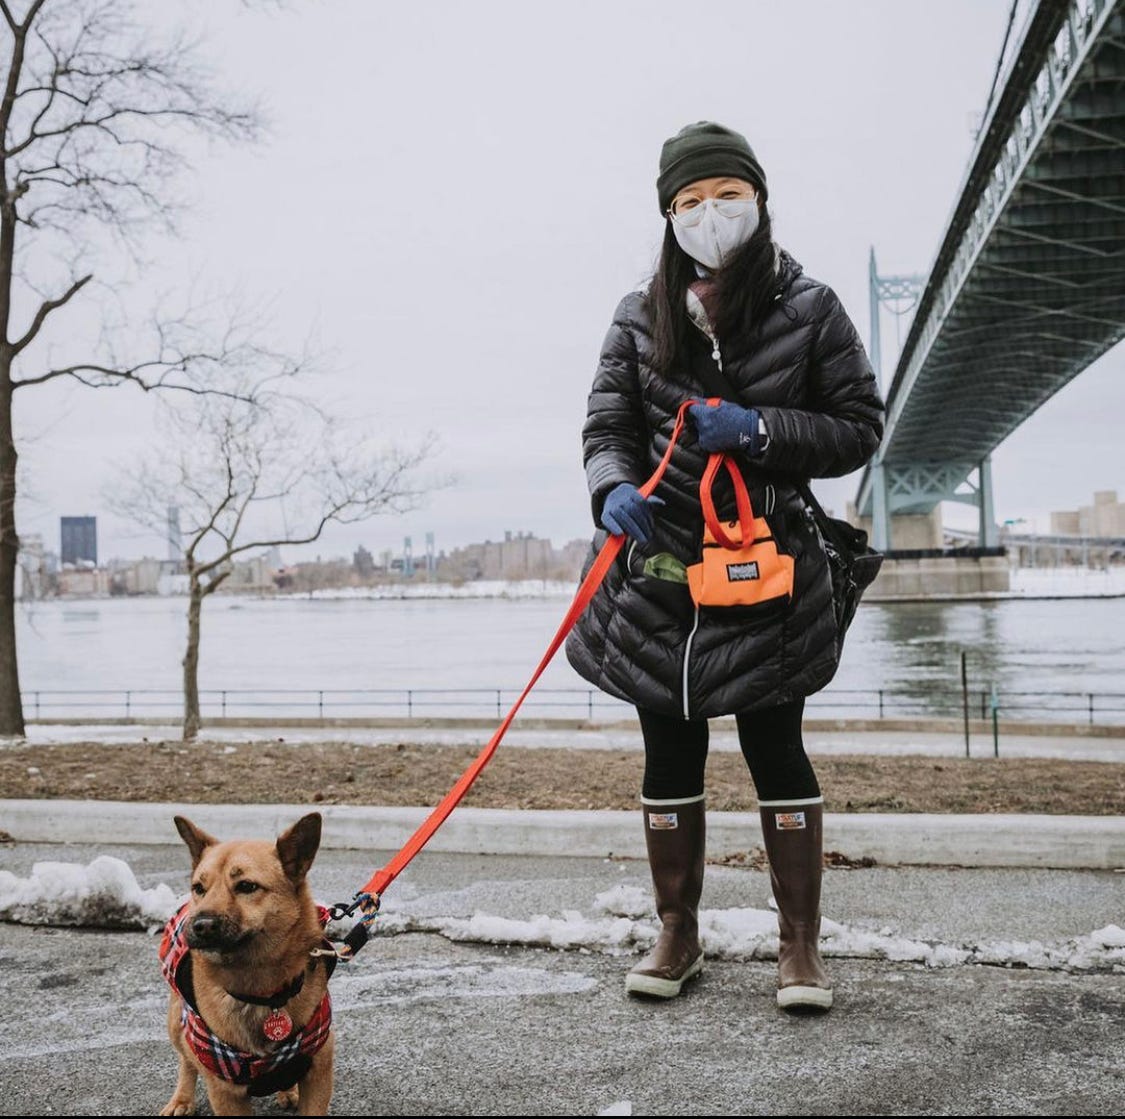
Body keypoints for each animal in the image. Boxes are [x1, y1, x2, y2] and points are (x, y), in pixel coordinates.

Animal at [160, 814, 333, 1119]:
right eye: (199, 888)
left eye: (247, 886)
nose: (200, 925)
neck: (263, 994)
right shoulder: (225, 1092)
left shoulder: (318, 1072)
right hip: (176, 1023)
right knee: (186, 1060)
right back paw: (181, 1099)